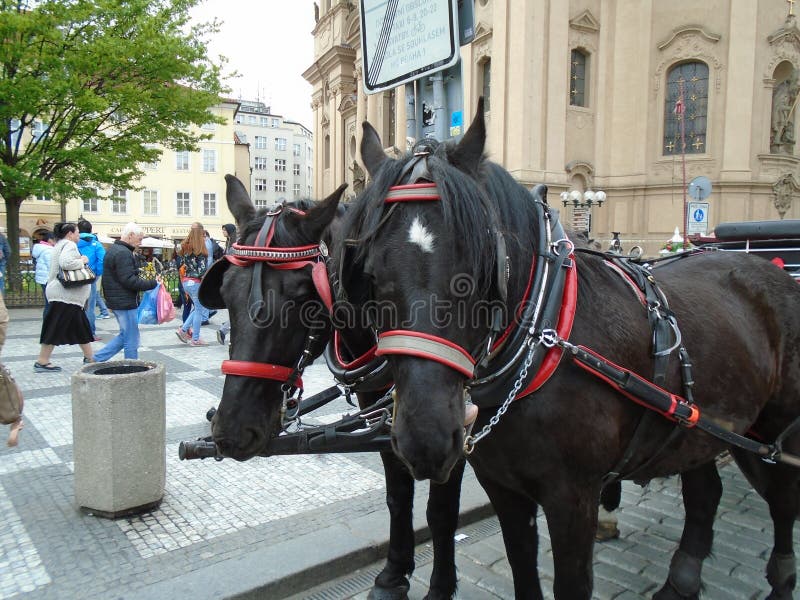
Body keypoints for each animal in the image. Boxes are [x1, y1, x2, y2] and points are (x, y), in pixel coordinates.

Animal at [196, 175, 466, 600]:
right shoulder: (382, 415)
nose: (230, 431)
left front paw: (439, 587)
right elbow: (397, 495)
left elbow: (440, 510)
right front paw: (393, 574)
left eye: (302, 296)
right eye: (224, 292)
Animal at [334, 101, 800, 596]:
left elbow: (571, 583)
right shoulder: (504, 487)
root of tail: (769, 269)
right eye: (369, 272)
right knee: (705, 490)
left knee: (783, 500)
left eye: (481, 267)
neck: (545, 336)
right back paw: (683, 577)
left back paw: (781, 577)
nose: (426, 440)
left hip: (776, 431)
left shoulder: (573, 498)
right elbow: (522, 569)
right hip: (698, 427)